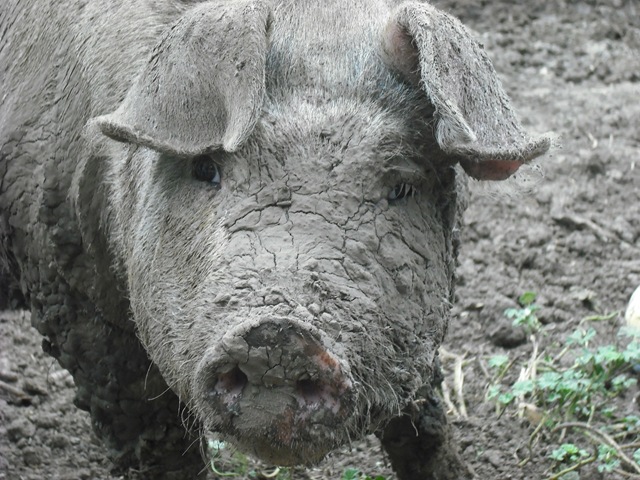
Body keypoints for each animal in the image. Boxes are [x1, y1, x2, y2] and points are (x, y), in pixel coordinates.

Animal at [0, 1, 551, 478]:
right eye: (206, 169)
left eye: (400, 187)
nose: (278, 335)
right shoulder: (71, 295)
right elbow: (155, 443)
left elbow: (424, 422)